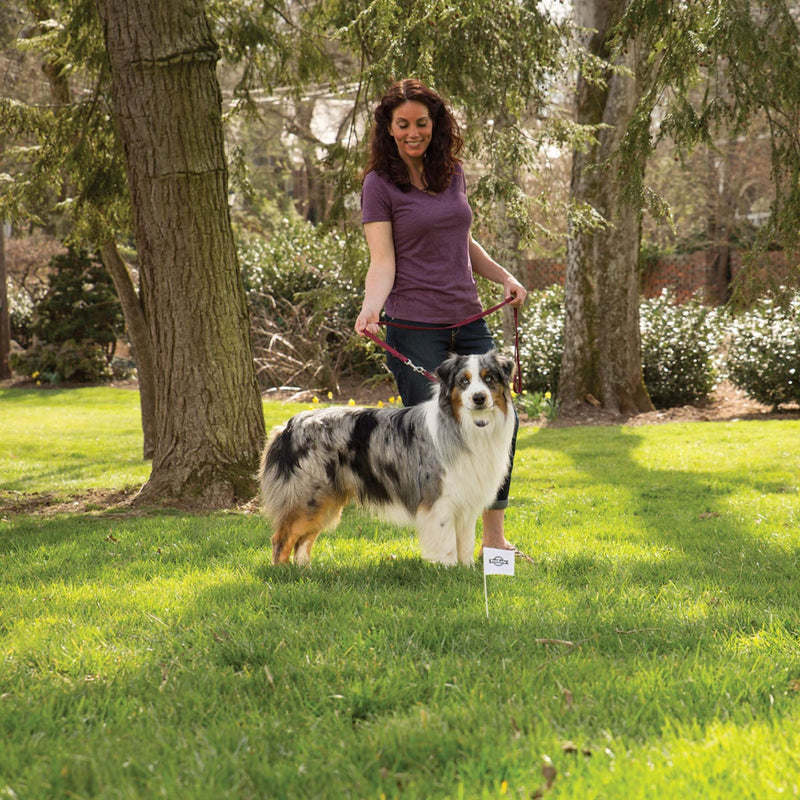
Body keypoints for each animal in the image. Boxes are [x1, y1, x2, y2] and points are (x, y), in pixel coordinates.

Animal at [260, 352, 516, 568]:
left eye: (489, 379)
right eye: (464, 382)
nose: (479, 398)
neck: (465, 426)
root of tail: (288, 425)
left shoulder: (466, 500)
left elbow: (465, 542)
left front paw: (467, 570)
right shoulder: (440, 500)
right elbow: (447, 544)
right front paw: (449, 570)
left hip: (327, 500)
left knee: (304, 539)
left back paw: (305, 571)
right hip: (309, 497)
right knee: (281, 538)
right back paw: (284, 575)